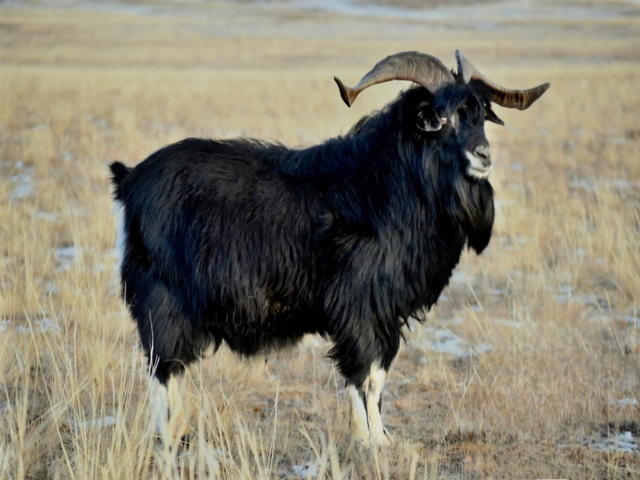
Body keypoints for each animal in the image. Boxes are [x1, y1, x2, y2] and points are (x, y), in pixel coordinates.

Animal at [110, 50, 549, 445]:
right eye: (444, 118)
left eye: (480, 115)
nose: (483, 156)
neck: (386, 185)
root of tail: (131, 179)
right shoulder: (356, 308)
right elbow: (360, 373)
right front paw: (367, 441)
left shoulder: (386, 313)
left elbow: (379, 375)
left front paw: (383, 439)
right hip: (162, 300)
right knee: (162, 370)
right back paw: (169, 438)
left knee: (171, 368)